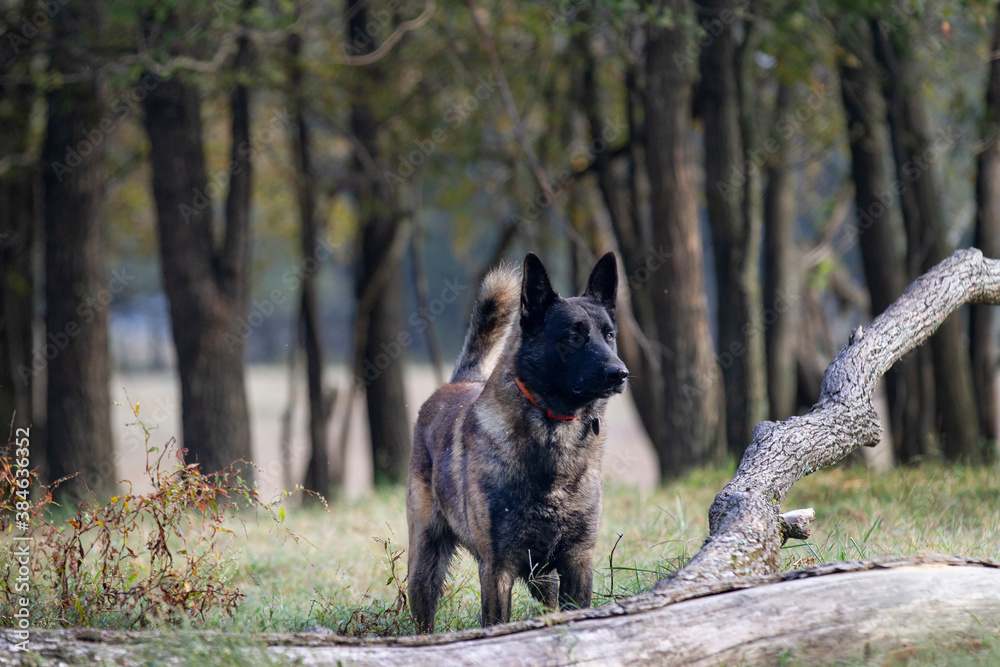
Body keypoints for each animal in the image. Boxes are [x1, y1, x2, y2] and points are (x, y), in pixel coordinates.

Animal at [404, 250, 624, 632]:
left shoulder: (577, 560)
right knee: (424, 614)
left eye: (608, 335)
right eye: (573, 336)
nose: (620, 373)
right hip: (425, 563)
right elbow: (496, 625)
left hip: (544, 577)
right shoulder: (497, 568)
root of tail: (458, 382)